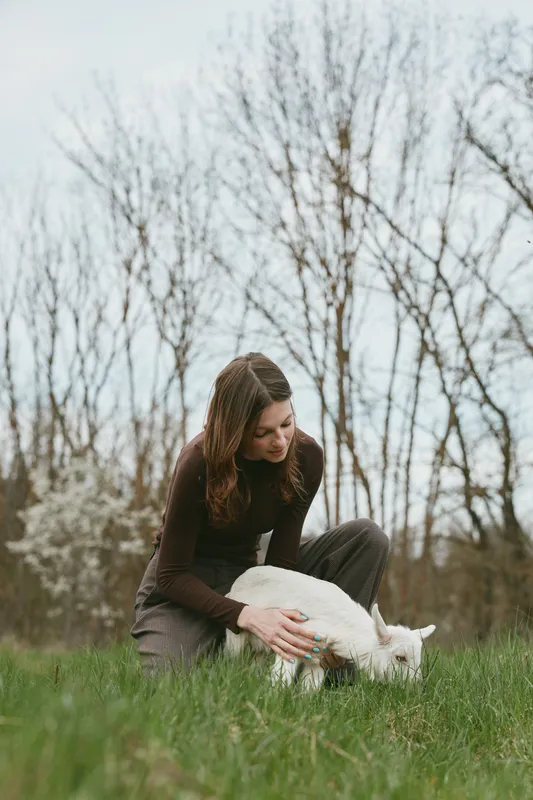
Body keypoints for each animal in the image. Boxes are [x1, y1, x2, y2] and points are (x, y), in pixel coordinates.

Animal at [225, 566, 436, 690]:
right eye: (400, 658)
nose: (416, 688)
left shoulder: (316, 660)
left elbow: (309, 690)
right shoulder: (290, 644)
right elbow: (281, 679)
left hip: (260, 648)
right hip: (236, 638)